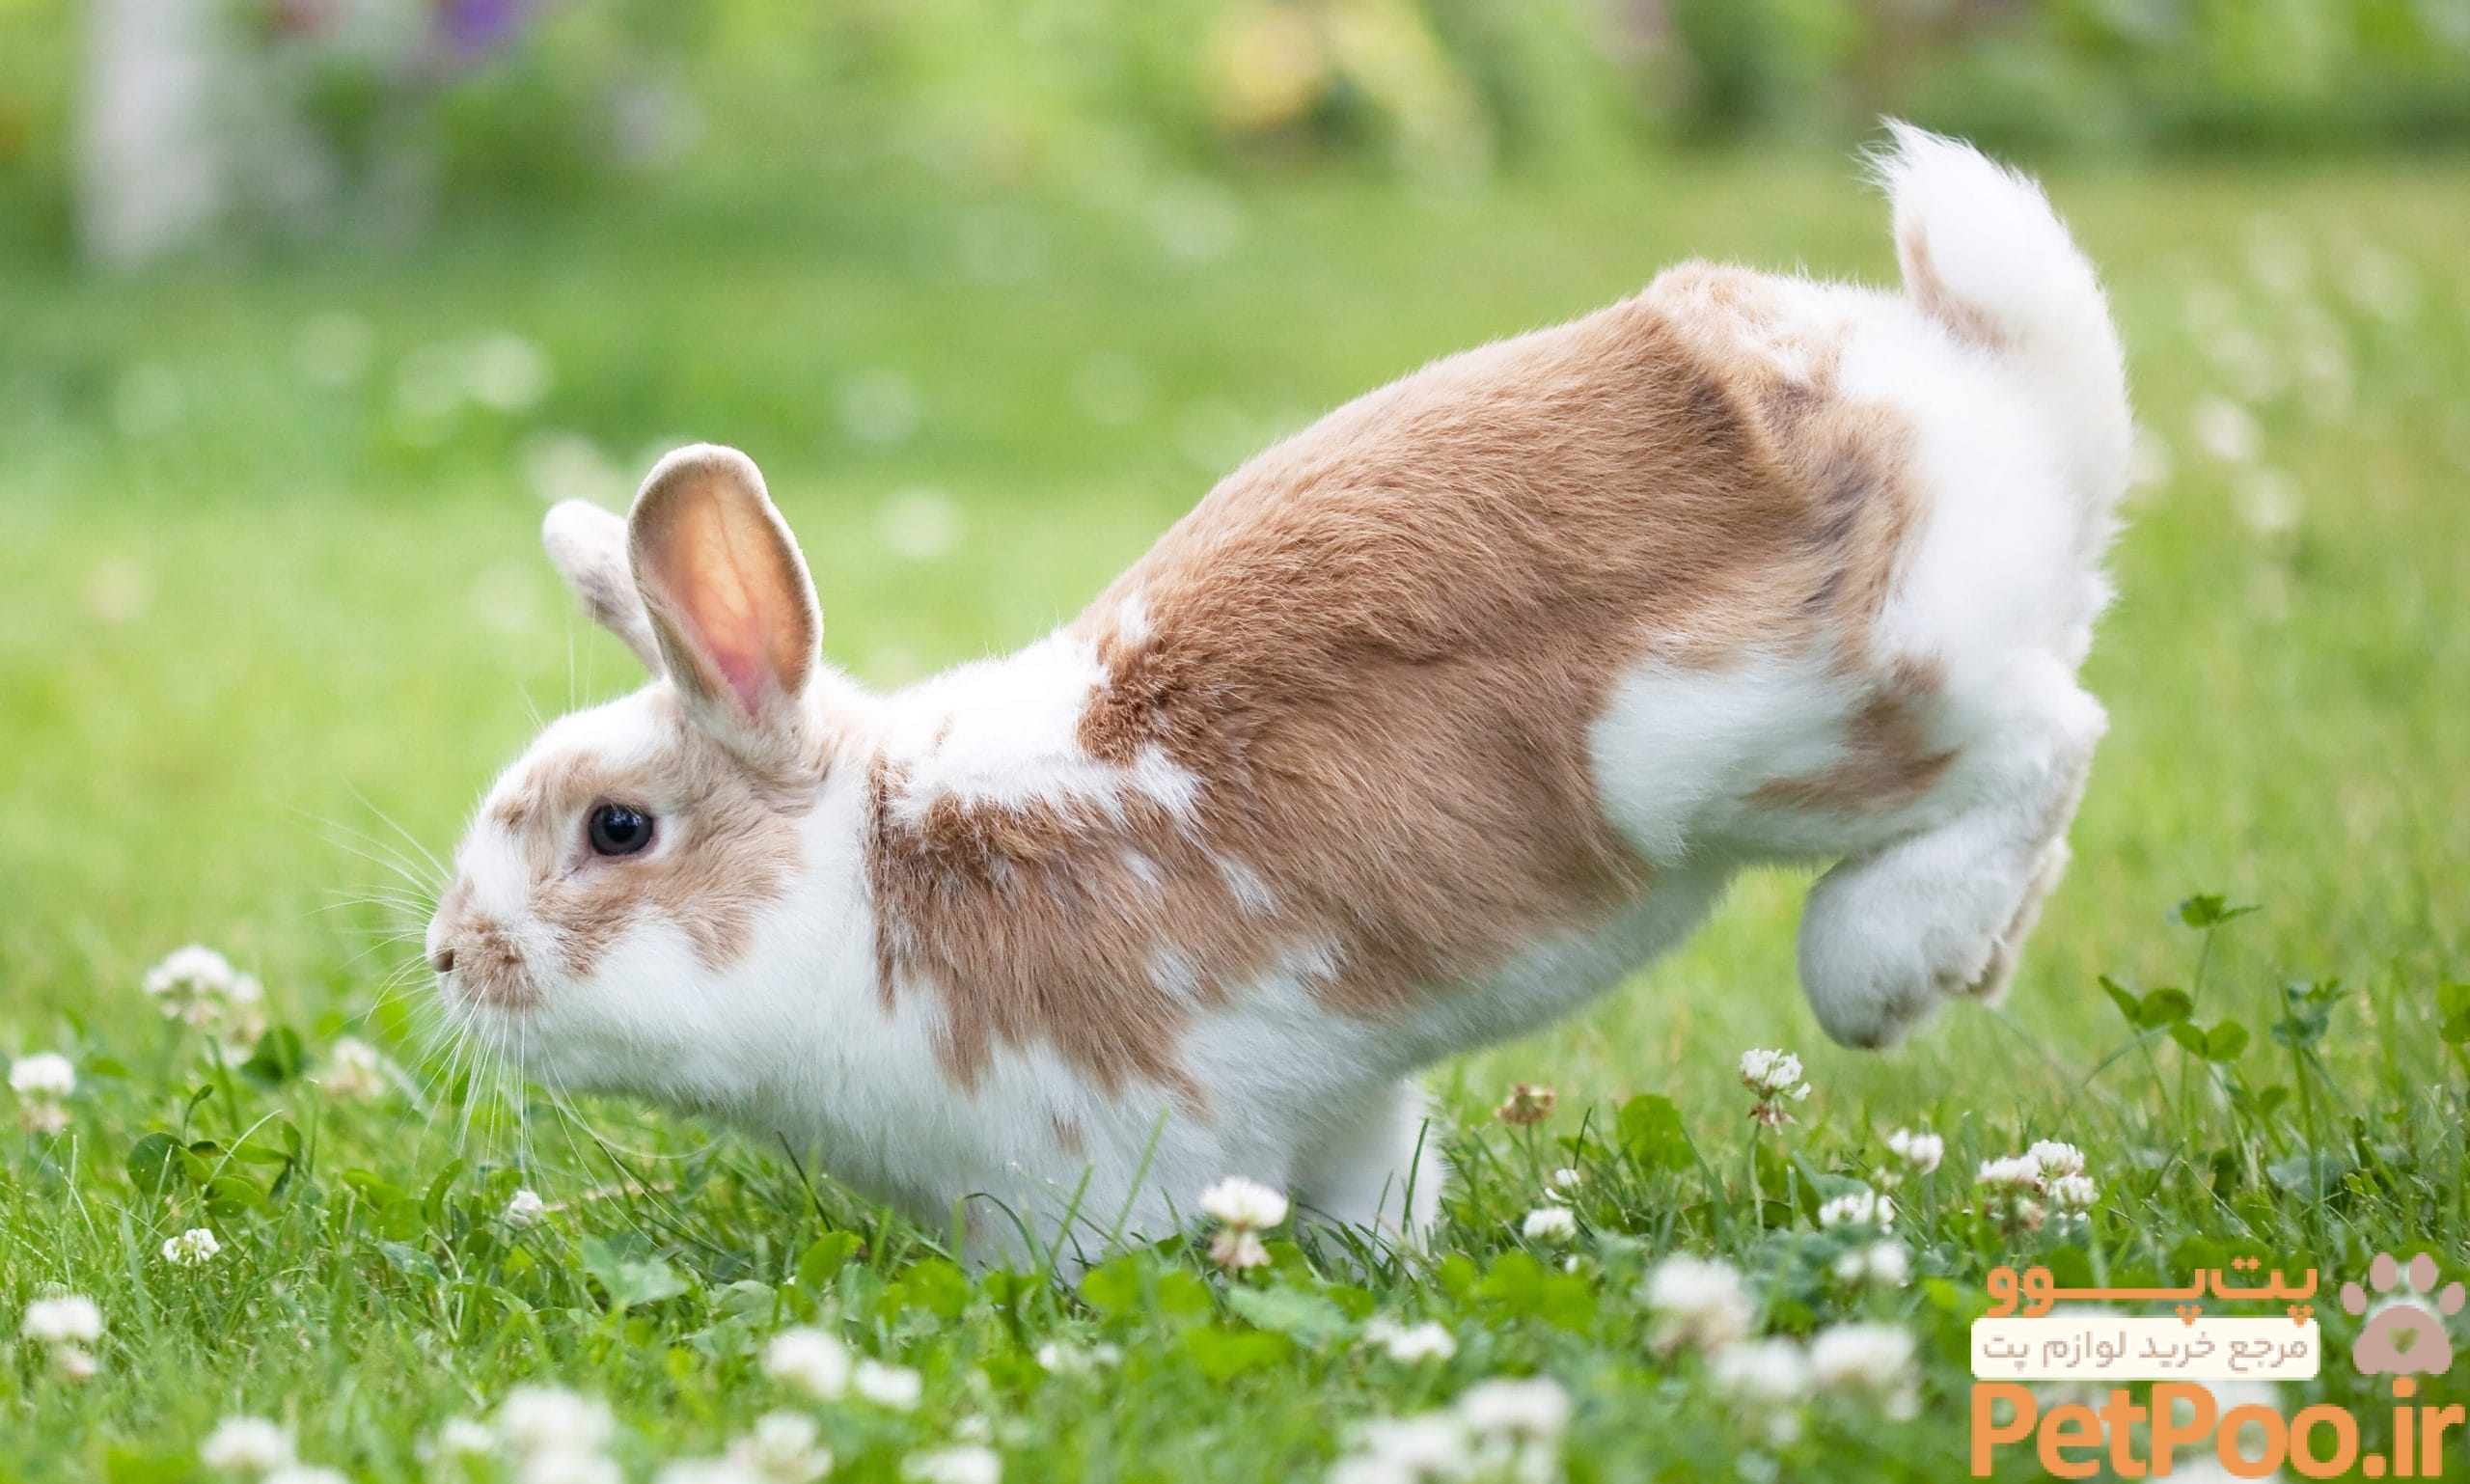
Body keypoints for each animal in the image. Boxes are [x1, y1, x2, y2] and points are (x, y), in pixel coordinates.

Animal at [426, 125, 2128, 1269]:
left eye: (618, 829)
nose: (447, 957)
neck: (869, 871)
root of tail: (1985, 390)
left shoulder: (1098, 1157)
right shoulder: (1336, 1103)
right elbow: (1376, 1189)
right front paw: (1386, 1272)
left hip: (1768, 733)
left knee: (2048, 740)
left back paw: (1886, 967)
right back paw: (1968, 960)